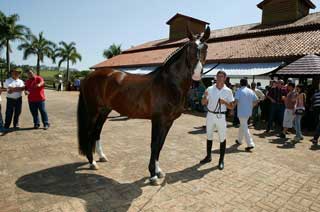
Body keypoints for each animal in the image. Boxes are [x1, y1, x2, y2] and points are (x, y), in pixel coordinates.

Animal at [78, 26, 210, 185]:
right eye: (190, 47)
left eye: (206, 47)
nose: (197, 73)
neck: (168, 84)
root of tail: (88, 77)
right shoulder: (157, 120)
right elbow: (154, 144)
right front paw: (152, 175)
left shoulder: (168, 122)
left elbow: (160, 145)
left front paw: (158, 171)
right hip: (93, 111)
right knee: (89, 133)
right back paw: (92, 162)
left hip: (104, 110)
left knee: (97, 132)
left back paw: (101, 157)